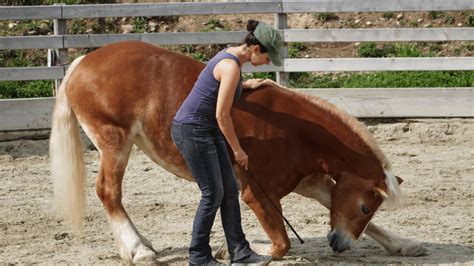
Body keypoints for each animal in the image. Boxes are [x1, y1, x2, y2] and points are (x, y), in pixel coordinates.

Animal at [50, 40, 428, 262]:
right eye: (365, 205)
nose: (340, 243)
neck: (296, 132)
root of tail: (83, 62)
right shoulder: (257, 195)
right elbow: (281, 244)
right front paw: (228, 249)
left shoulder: (314, 184)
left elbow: (340, 207)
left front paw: (403, 244)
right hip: (115, 143)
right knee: (108, 192)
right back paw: (138, 250)